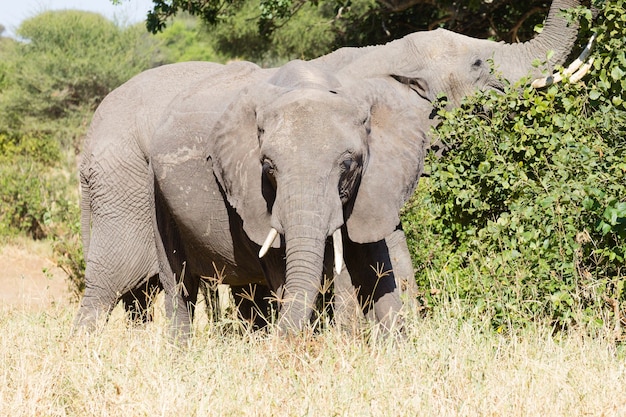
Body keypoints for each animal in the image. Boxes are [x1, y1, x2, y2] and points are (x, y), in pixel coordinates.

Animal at [74, 0, 584, 334]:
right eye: (480, 64)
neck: (380, 55)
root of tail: (89, 139)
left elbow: (390, 253)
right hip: (126, 187)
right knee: (110, 284)